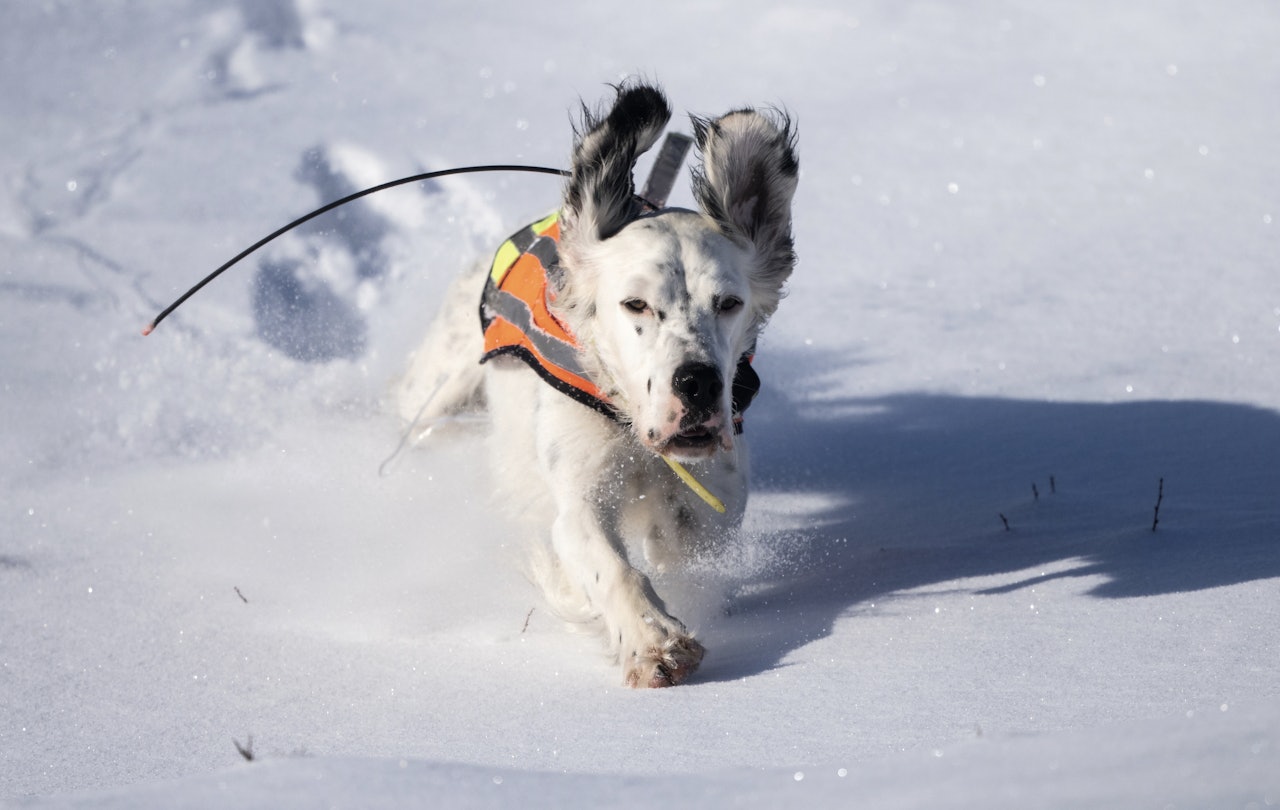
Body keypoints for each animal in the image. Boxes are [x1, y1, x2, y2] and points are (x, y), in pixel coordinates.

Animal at [396, 80, 798, 690]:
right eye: (636, 304)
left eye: (729, 303)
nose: (698, 384)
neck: (630, 421)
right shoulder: (577, 495)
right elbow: (612, 567)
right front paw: (654, 642)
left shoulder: (711, 505)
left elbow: (681, 551)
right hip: (436, 390)